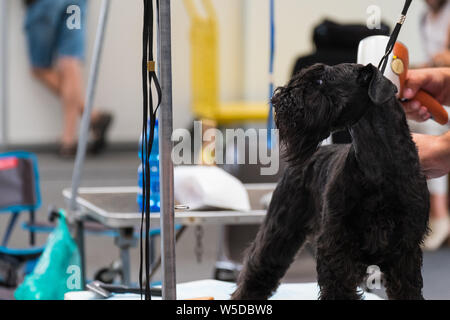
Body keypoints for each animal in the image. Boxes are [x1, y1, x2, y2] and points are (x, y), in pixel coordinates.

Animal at [232, 63, 428, 300]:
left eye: (320, 81)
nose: (277, 99)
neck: (378, 164)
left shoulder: (406, 249)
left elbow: (407, 289)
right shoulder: (337, 246)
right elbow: (338, 288)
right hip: (280, 228)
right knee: (257, 265)